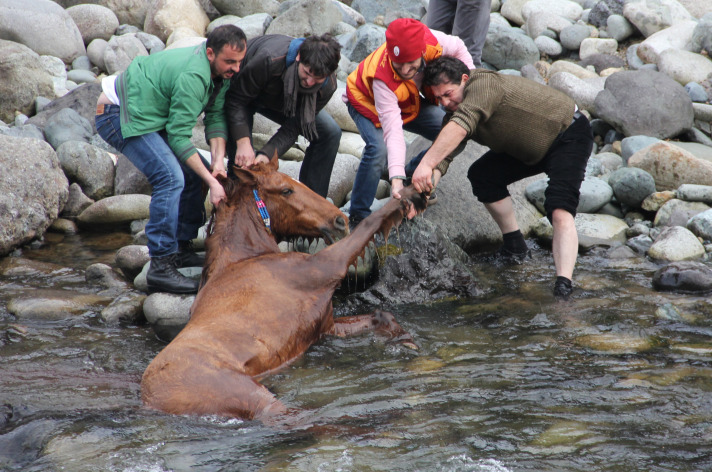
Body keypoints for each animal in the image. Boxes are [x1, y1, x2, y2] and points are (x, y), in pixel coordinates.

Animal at [142, 155, 426, 424]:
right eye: (286, 190)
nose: (340, 220)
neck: (248, 255)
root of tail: (152, 401)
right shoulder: (326, 266)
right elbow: (370, 224)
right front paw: (413, 193)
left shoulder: (325, 327)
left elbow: (381, 315)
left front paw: (408, 342)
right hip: (251, 395)